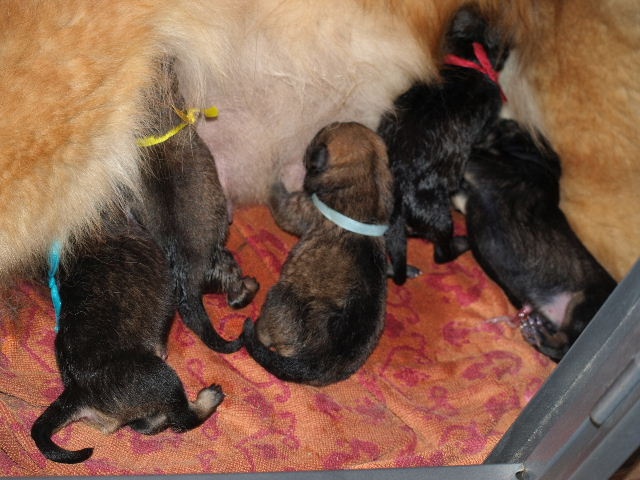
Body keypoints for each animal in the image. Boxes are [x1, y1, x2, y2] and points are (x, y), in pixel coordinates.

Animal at [241, 122, 392, 386]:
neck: (368, 183)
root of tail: (313, 361)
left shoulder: (300, 208)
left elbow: (280, 202)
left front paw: (275, 176)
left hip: (277, 298)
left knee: (265, 330)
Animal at [445, 119, 617, 361]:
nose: (502, 120)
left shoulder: (487, 168)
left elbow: (470, 156)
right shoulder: (466, 194)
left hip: (584, 303)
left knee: (564, 345)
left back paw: (539, 336)